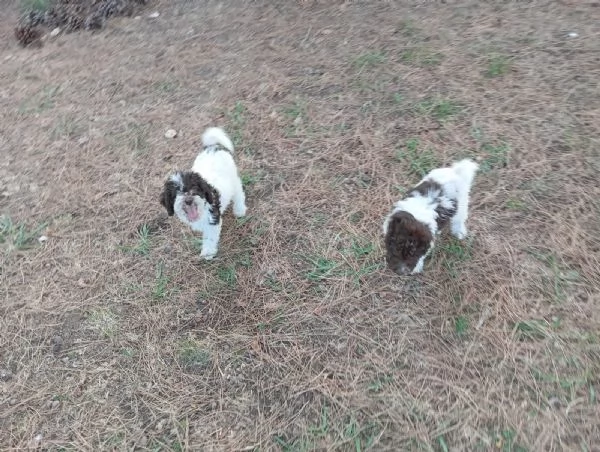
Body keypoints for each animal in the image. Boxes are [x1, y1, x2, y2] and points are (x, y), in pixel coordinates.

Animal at [158, 128, 247, 262]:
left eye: (194, 188)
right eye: (175, 194)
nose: (188, 200)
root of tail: (213, 147)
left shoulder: (212, 218)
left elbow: (210, 237)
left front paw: (208, 252)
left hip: (233, 178)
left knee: (238, 192)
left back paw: (240, 209)